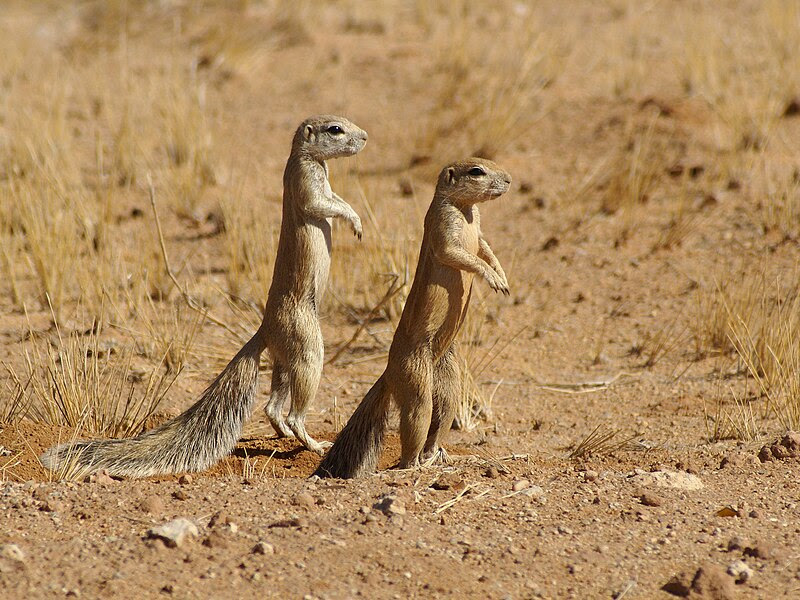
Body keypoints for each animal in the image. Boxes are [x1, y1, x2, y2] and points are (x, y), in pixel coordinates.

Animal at [42, 115, 368, 476]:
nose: (366, 137)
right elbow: (324, 204)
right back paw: (311, 443)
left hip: (285, 358)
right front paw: (355, 222)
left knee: (272, 407)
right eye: (336, 129)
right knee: (294, 411)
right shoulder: (307, 182)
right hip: (309, 349)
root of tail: (264, 328)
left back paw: (283, 434)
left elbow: (336, 198)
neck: (309, 159)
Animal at [314, 158, 512, 478]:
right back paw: (414, 467)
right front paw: (493, 278)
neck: (466, 210)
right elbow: (461, 255)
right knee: (414, 430)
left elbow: (485, 249)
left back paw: (441, 457)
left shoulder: (478, 233)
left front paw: (502, 277)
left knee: (441, 418)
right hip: (417, 383)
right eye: (477, 171)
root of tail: (389, 372)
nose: (508, 180)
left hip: (448, 381)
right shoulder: (444, 228)